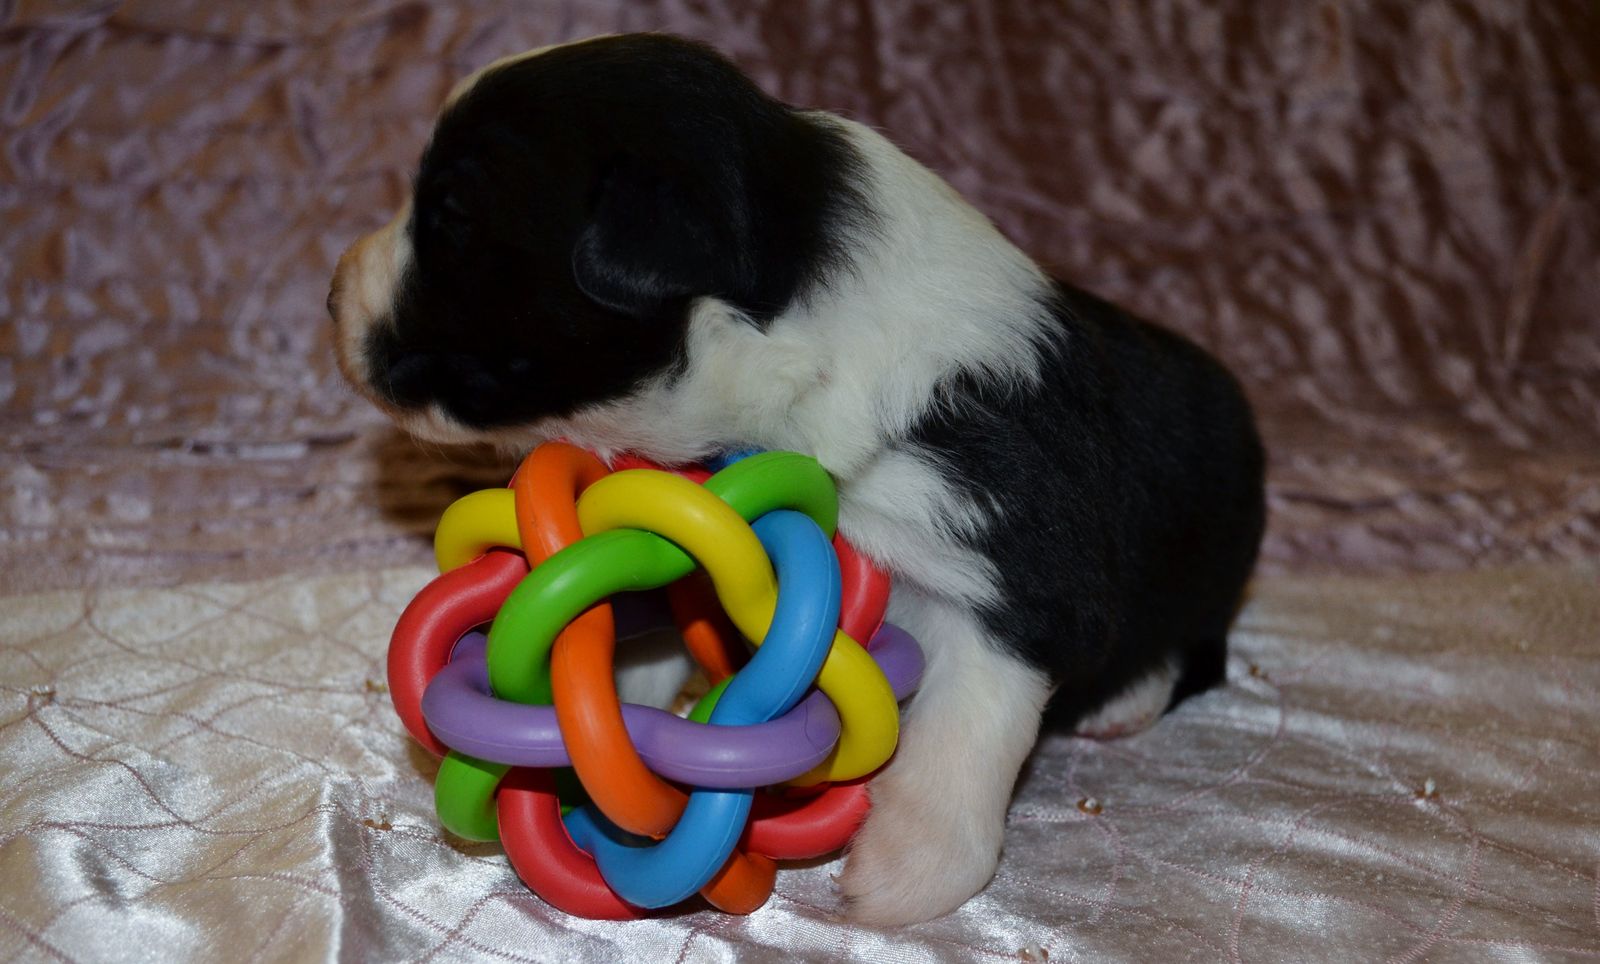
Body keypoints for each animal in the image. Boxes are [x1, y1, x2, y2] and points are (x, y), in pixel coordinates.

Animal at [329, 33, 1265, 925]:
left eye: (451, 218)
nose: (332, 299)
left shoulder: (1017, 565)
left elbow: (970, 720)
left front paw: (909, 868)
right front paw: (603, 705)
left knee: (1194, 646)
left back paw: (1123, 700)